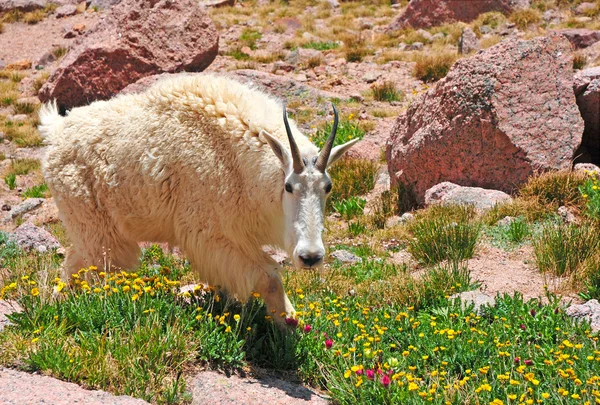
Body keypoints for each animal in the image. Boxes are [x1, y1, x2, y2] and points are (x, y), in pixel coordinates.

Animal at [39, 72, 358, 326]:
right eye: (289, 187)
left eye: (328, 187)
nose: (310, 257)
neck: (238, 159)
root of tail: (55, 131)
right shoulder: (210, 233)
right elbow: (268, 276)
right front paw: (288, 323)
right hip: (96, 223)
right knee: (99, 267)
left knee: (75, 262)